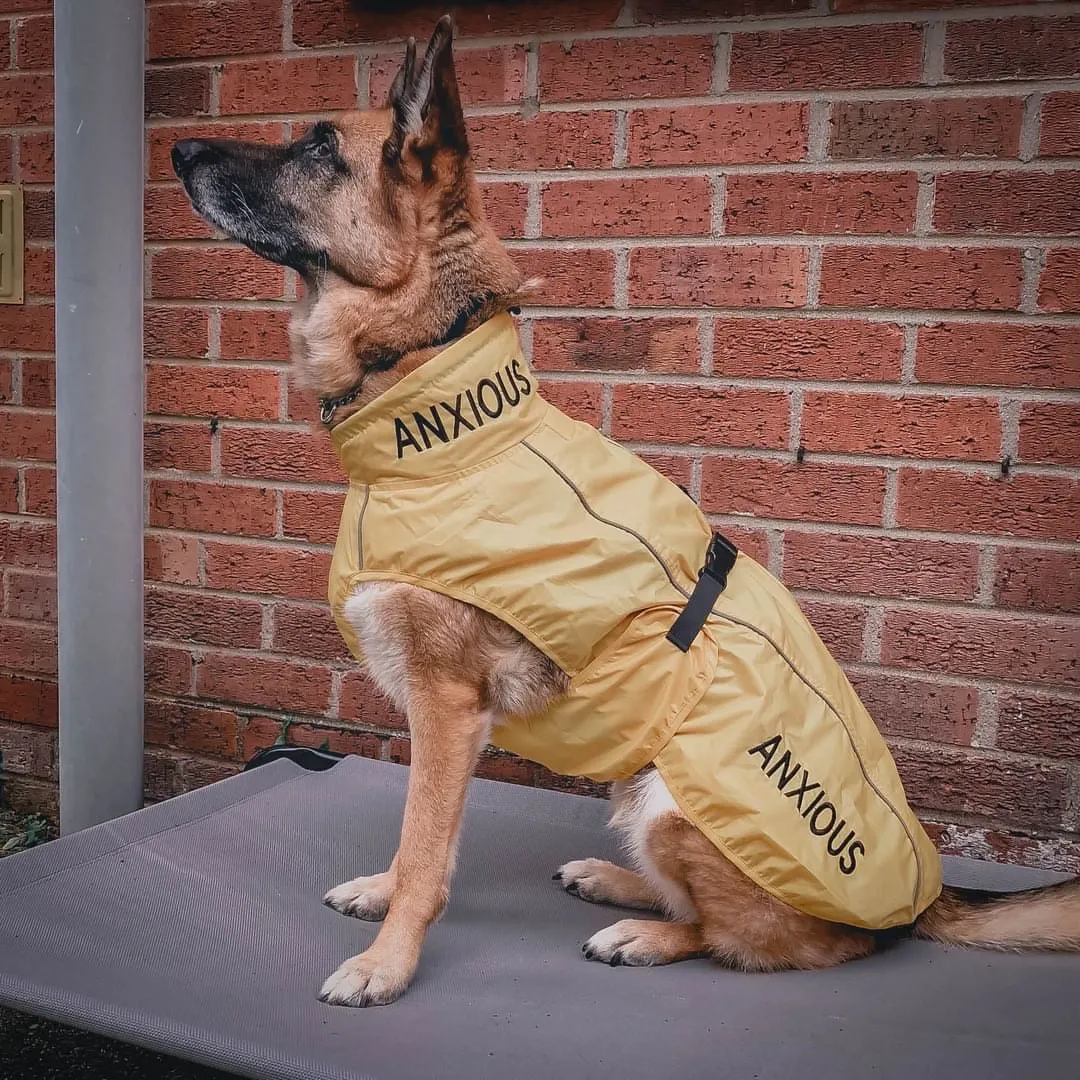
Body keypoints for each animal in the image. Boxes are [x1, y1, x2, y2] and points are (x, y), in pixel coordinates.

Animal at [174, 14, 1080, 1002]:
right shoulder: (442, 718)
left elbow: (424, 847)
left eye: (318, 147)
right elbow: (426, 842)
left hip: (674, 803)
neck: (433, 389)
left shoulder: (447, 707)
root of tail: (921, 900)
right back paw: (615, 884)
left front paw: (388, 961)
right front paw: (381, 897)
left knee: (768, 942)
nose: (178, 148)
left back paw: (645, 933)